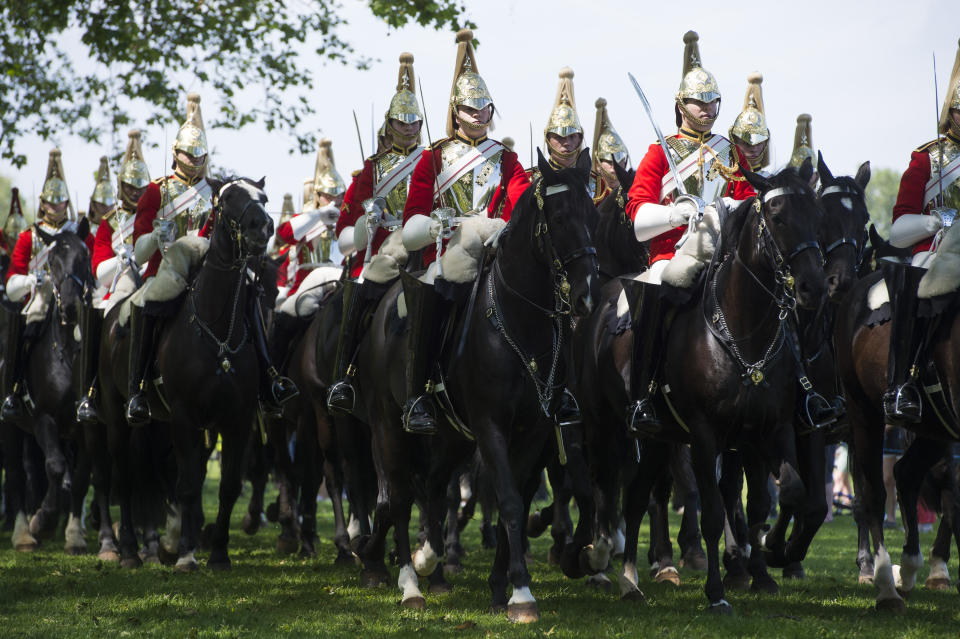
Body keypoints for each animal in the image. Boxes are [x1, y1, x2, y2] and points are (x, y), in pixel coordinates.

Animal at [99, 178, 274, 572]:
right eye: (227, 199)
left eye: (264, 198)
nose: (262, 227)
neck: (217, 329)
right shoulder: (183, 416)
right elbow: (189, 486)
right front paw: (186, 555)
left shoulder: (237, 420)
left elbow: (227, 487)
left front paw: (218, 553)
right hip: (117, 413)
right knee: (125, 476)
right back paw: (129, 549)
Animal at [358, 150, 600, 620]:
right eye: (560, 216)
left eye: (594, 212)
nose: (585, 297)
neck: (521, 326)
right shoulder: (491, 427)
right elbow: (507, 500)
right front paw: (521, 593)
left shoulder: (533, 432)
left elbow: (517, 500)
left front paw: (500, 586)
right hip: (389, 427)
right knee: (398, 497)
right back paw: (410, 581)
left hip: (452, 437)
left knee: (433, 489)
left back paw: (429, 560)